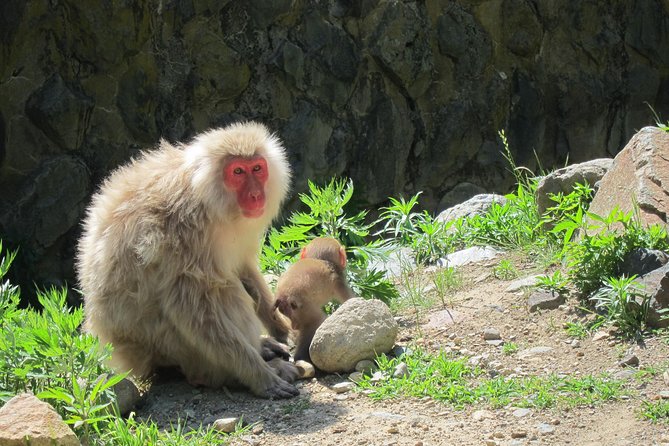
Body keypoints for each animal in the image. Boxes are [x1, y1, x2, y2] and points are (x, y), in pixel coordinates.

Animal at [76, 122, 299, 399]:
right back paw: (222, 374)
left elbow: (243, 266)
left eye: (257, 168)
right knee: (223, 292)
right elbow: (189, 306)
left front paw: (283, 331)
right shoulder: (184, 231)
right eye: (237, 171)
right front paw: (261, 377)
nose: (256, 196)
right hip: (166, 345)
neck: (210, 201)